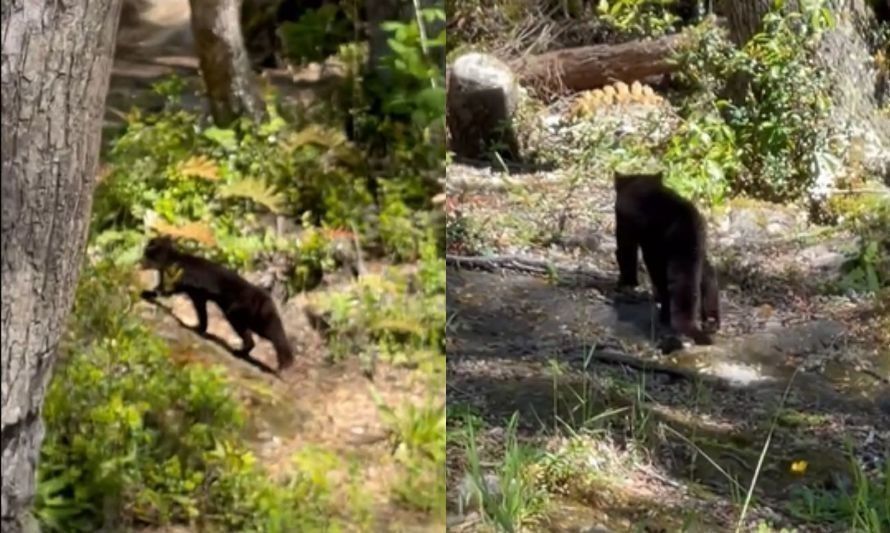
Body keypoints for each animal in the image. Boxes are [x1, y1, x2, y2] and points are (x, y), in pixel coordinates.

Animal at [140, 235, 294, 372]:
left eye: (146, 251)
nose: (140, 260)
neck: (172, 258)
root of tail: (266, 297)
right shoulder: (198, 297)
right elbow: (203, 316)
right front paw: (199, 329)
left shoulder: (171, 286)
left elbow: (157, 291)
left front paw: (143, 293)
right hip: (252, 320)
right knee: (272, 336)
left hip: (238, 316)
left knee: (262, 339)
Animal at [612, 170, 720, 344]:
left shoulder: (626, 231)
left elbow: (625, 257)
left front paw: (625, 285)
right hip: (699, 257)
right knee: (709, 278)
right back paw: (711, 323)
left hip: (661, 259)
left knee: (664, 287)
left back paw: (664, 317)